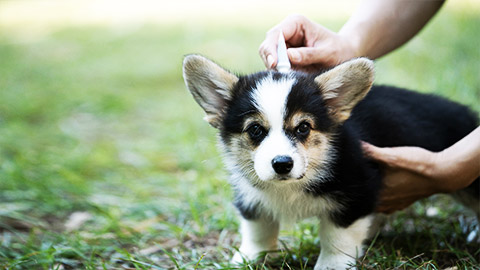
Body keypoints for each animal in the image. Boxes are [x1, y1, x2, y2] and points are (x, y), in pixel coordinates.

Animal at [182, 54, 478, 270]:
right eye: (255, 129)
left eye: (303, 127)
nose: (282, 164)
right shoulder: (251, 198)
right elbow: (257, 230)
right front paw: (248, 258)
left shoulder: (356, 193)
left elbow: (337, 237)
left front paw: (331, 265)